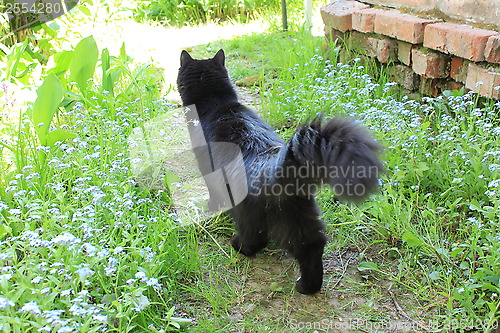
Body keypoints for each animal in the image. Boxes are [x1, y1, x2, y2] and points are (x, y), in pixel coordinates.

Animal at [178, 48, 380, 294]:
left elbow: (214, 196)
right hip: (299, 216)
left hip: (249, 215)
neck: (214, 103)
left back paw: (237, 245)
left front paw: (211, 209)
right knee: (312, 246)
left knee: (255, 242)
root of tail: (274, 164)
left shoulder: (209, 171)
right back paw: (307, 286)